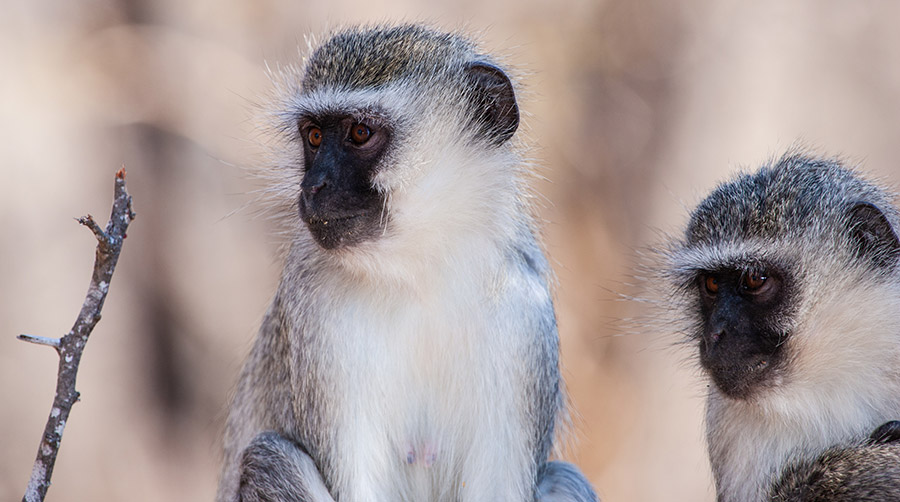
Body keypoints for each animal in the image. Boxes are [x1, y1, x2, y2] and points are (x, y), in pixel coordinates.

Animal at [216, 24, 598, 502]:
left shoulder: (525, 317)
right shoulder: (315, 312)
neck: (420, 271)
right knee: (270, 458)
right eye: (314, 136)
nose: (313, 185)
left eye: (360, 132)